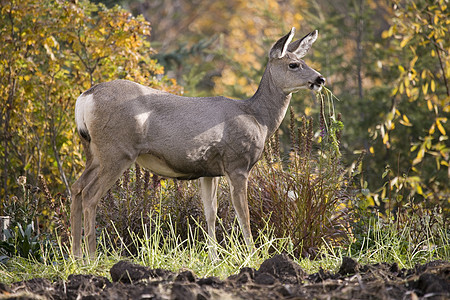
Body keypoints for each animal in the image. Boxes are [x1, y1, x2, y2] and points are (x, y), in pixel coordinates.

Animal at [69, 27, 324, 258]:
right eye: (294, 65)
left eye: (302, 60)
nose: (319, 79)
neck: (259, 118)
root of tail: (85, 97)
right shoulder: (237, 163)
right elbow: (244, 215)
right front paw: (252, 255)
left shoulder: (209, 171)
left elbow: (210, 212)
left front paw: (214, 258)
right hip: (117, 151)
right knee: (90, 194)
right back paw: (91, 257)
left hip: (94, 151)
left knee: (77, 187)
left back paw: (76, 256)